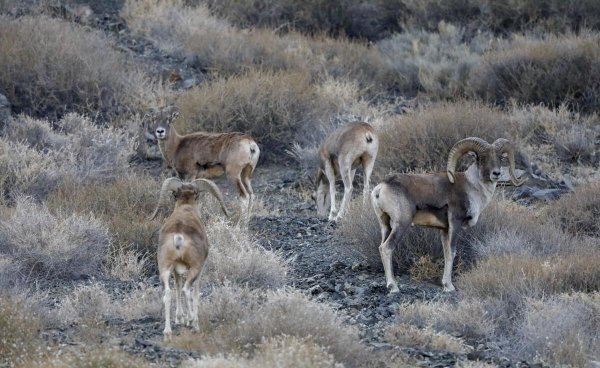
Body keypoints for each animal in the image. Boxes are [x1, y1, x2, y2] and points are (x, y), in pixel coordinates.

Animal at [152, 177, 230, 338]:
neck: (186, 209)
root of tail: (178, 236)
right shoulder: (200, 269)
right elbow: (195, 294)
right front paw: (190, 320)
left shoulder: (176, 271)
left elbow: (176, 287)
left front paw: (179, 319)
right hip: (194, 269)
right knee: (186, 290)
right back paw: (193, 323)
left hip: (165, 268)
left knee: (168, 293)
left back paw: (167, 331)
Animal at [370, 138, 524, 294]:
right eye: (482, 158)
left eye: (500, 158)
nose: (496, 173)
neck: (472, 188)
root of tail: (381, 188)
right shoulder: (455, 224)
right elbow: (452, 252)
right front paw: (449, 287)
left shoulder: (444, 230)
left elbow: (446, 253)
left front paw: (445, 284)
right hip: (401, 224)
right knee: (387, 248)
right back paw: (393, 287)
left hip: (385, 226)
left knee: (381, 247)